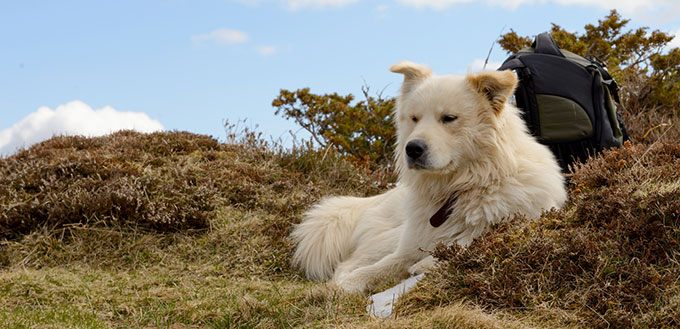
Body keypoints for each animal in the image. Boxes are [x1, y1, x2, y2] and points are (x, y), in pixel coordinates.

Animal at [290, 60, 564, 292]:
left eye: (449, 118)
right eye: (414, 118)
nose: (412, 149)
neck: (456, 191)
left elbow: (466, 242)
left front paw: (428, 263)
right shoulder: (408, 247)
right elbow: (380, 267)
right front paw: (346, 286)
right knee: (349, 263)